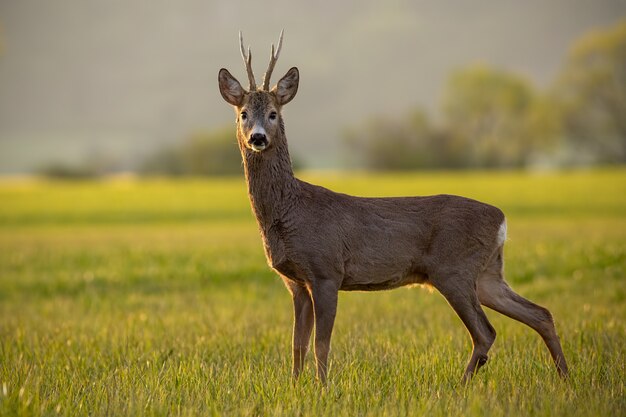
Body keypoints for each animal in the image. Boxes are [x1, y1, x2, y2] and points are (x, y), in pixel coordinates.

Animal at [217, 31, 568, 384]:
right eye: (243, 113)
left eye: (274, 113)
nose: (258, 138)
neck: (290, 212)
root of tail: (501, 219)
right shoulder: (296, 282)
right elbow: (296, 346)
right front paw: (295, 386)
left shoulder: (326, 270)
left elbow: (320, 344)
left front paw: (323, 388)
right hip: (487, 274)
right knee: (540, 313)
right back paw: (565, 377)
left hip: (454, 269)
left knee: (486, 332)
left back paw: (463, 384)